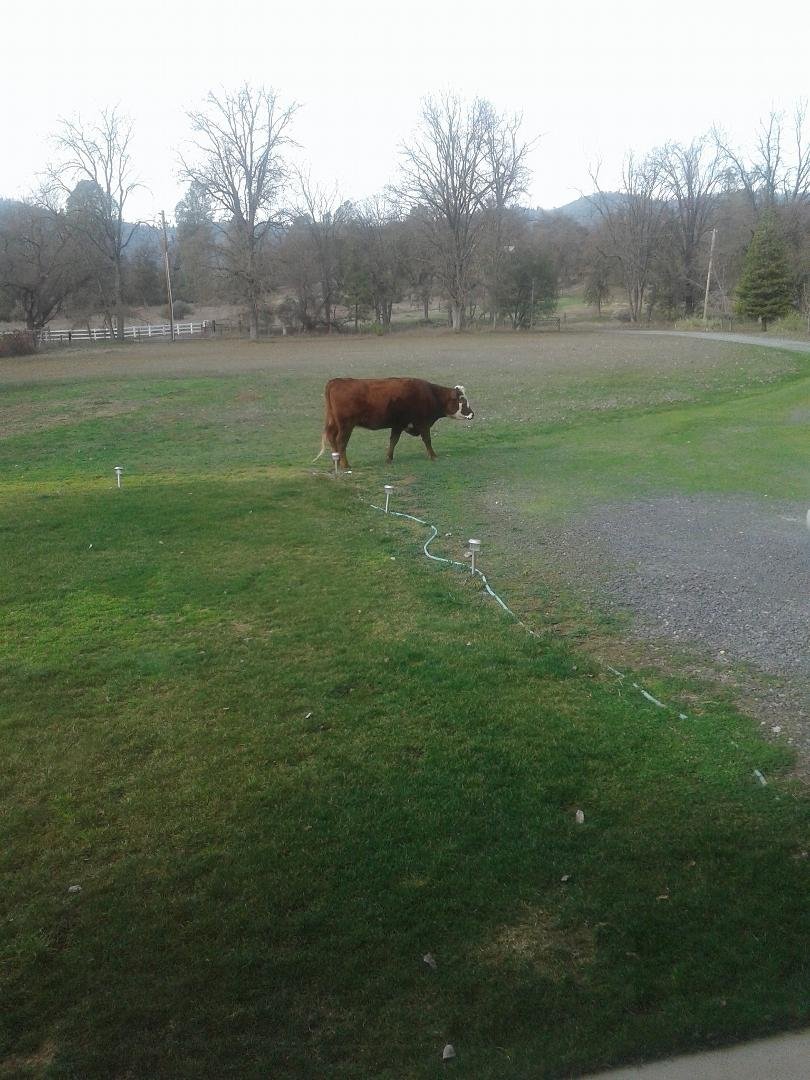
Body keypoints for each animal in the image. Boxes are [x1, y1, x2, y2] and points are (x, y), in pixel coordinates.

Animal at [314, 377, 474, 469]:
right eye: (462, 400)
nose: (472, 414)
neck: (431, 395)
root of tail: (337, 381)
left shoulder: (398, 425)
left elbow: (393, 441)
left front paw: (389, 458)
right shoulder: (422, 423)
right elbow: (427, 440)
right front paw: (433, 456)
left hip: (335, 423)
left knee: (332, 439)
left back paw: (336, 462)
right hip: (346, 425)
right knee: (341, 442)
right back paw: (345, 465)